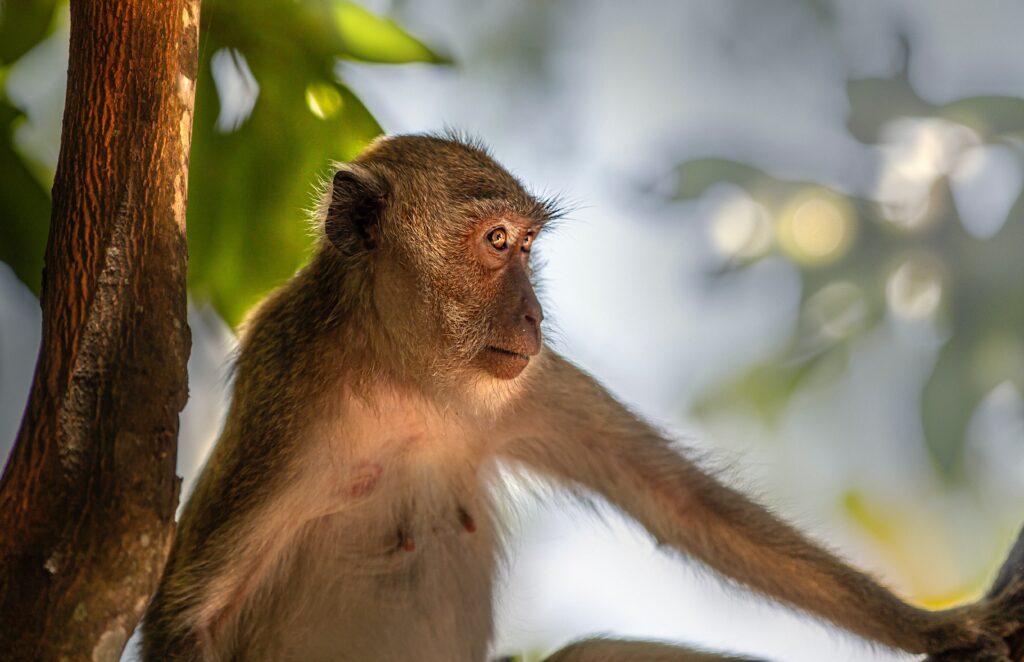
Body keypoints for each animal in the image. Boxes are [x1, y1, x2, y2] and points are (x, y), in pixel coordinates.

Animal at [141, 133, 1024, 661]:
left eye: (528, 246)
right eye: (496, 242)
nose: (533, 314)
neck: (406, 376)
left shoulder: (526, 385)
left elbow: (681, 503)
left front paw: (940, 627)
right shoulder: (292, 394)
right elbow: (188, 614)